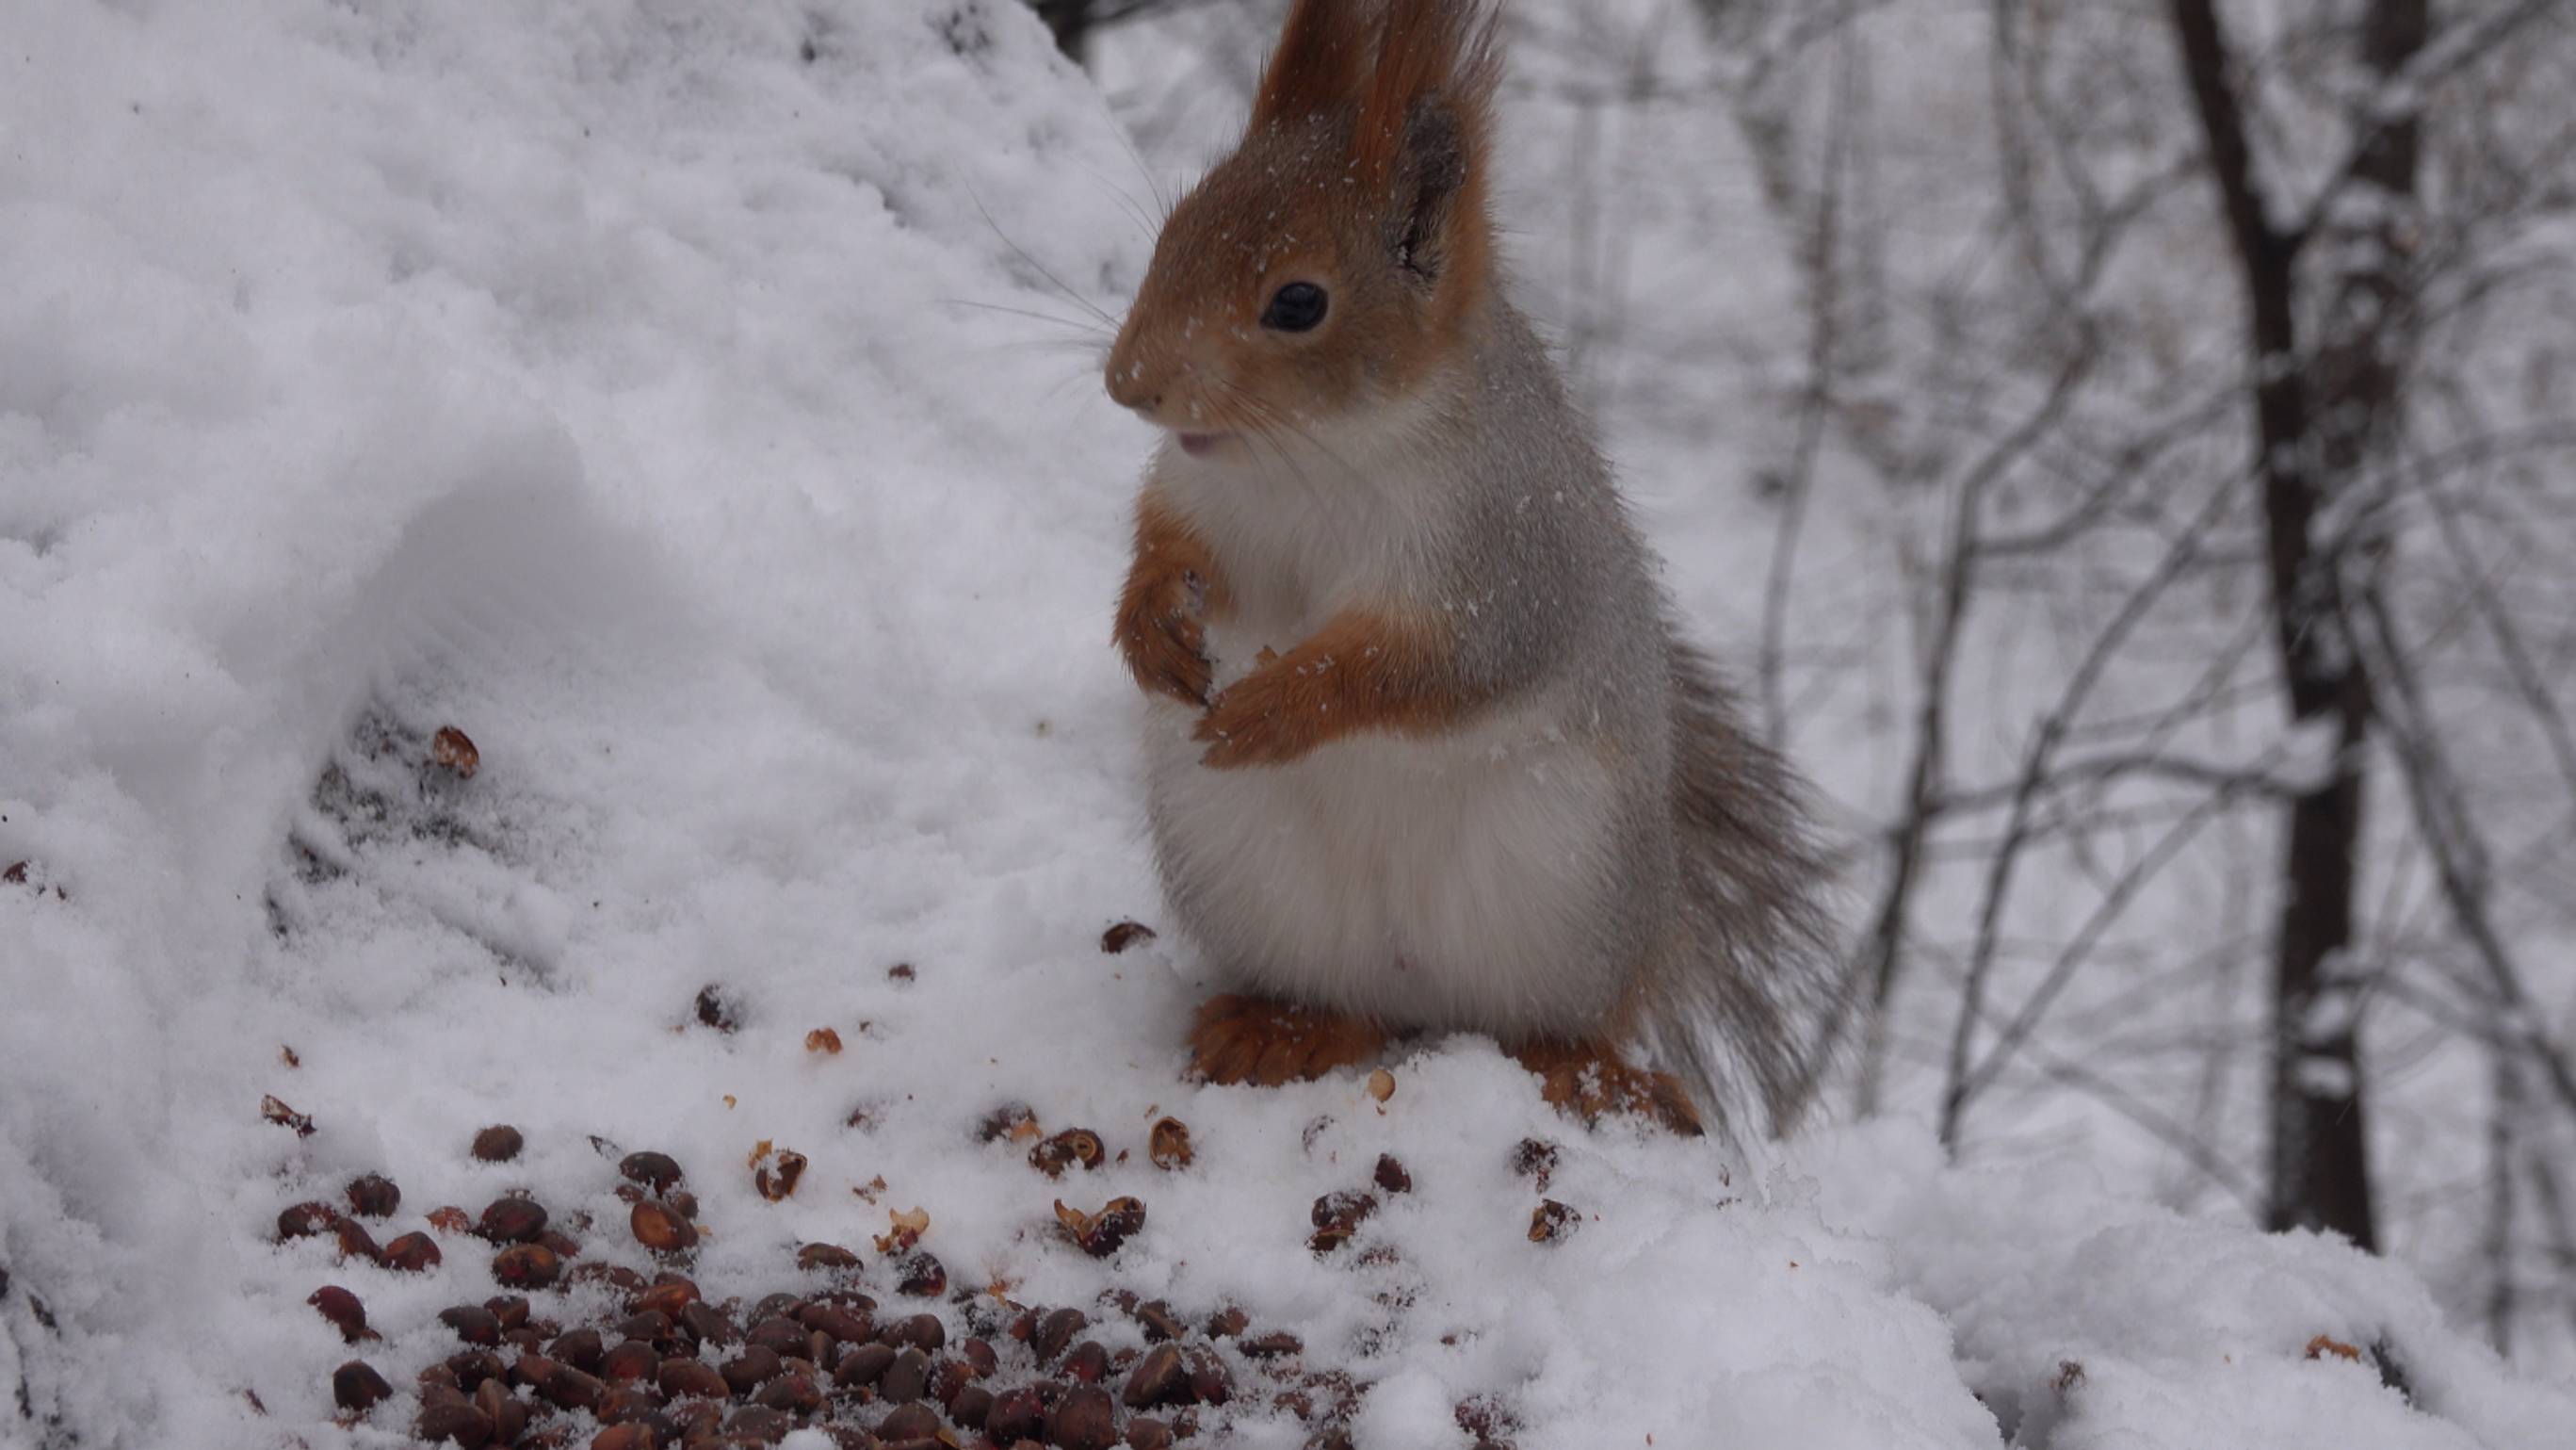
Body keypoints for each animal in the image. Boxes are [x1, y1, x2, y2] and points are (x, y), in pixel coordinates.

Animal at [1097, 0, 1844, 1138]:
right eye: (1174, 230)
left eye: (1298, 303)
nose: (1126, 384)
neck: (1320, 456)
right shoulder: (1200, 502)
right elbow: (1166, 548)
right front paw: (1153, 631)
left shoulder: (1507, 564)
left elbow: (1433, 670)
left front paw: (1277, 708)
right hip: (1251, 876)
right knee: (1350, 1008)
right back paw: (1284, 1027)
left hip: (1565, 889)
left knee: (1550, 1023)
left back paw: (1580, 1070)